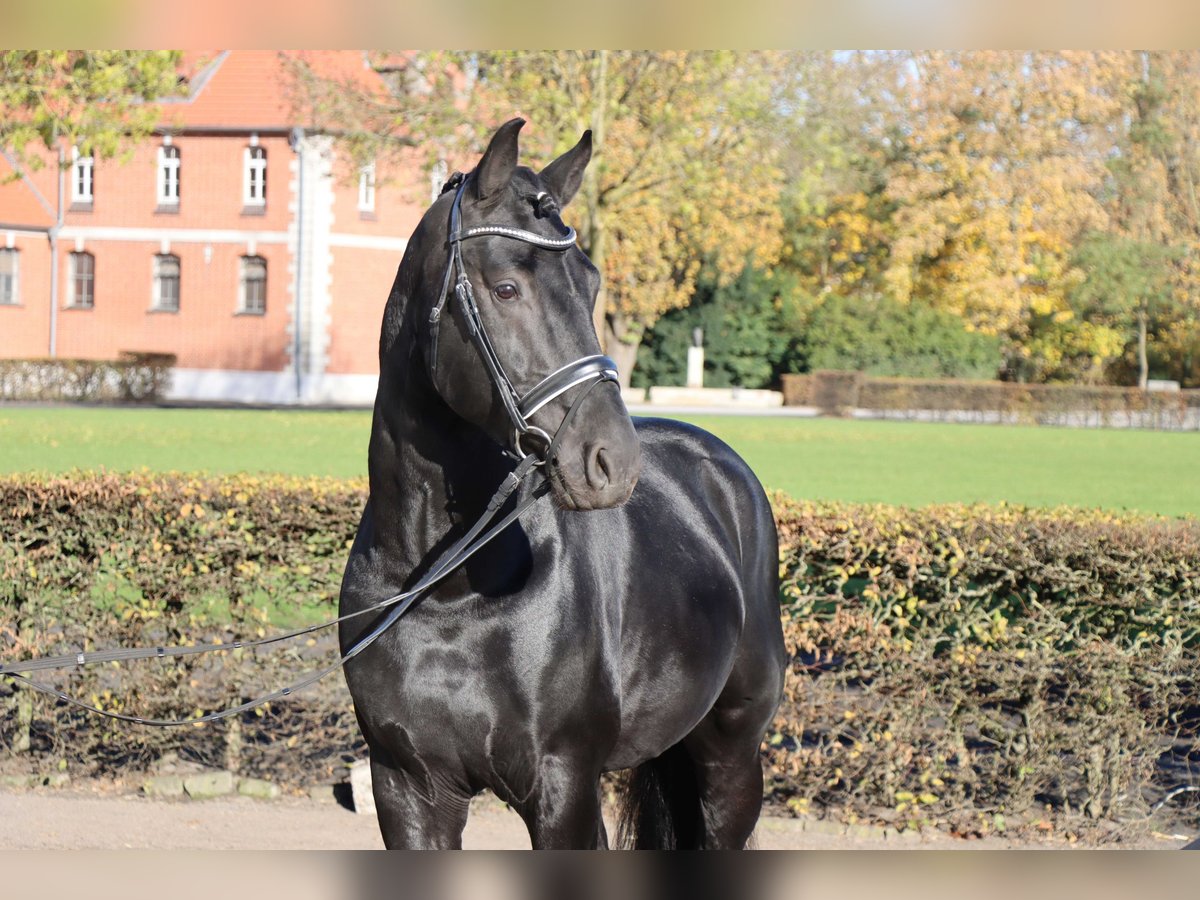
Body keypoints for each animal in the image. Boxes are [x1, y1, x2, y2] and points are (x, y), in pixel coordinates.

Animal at [339, 118, 786, 849]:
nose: (610, 460)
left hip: (731, 759)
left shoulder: (564, 790)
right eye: (505, 288)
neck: (449, 590)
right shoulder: (406, 788)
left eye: (591, 282)